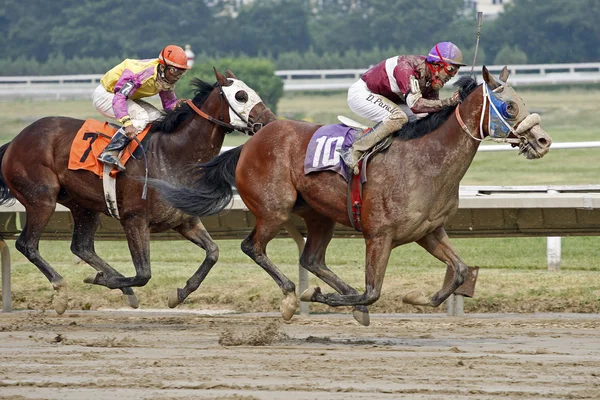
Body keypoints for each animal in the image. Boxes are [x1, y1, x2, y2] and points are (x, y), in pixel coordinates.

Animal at [0, 68, 276, 312]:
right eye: (241, 96)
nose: (271, 123)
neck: (172, 155)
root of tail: (14, 141)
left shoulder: (184, 220)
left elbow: (213, 253)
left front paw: (179, 294)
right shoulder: (134, 219)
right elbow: (144, 273)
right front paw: (100, 279)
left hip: (84, 206)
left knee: (82, 247)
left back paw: (124, 290)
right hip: (41, 199)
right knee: (27, 244)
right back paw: (62, 287)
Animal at [148, 67, 552, 326]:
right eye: (510, 106)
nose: (543, 140)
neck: (426, 160)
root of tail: (252, 141)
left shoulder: (428, 231)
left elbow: (460, 271)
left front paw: (417, 298)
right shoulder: (379, 235)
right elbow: (373, 291)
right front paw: (321, 298)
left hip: (319, 215)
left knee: (312, 258)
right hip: (274, 210)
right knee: (254, 247)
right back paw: (292, 298)